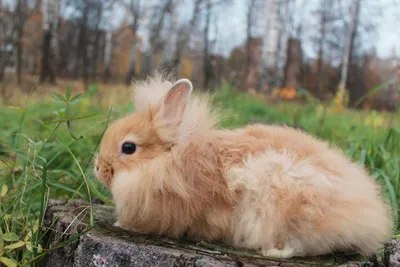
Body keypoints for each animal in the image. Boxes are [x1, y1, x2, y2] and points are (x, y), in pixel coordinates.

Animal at [94, 73, 394, 260]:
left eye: (128, 148)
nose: (98, 169)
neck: (168, 160)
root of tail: (372, 218)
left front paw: (121, 223)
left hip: (289, 199)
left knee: (301, 244)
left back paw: (272, 252)